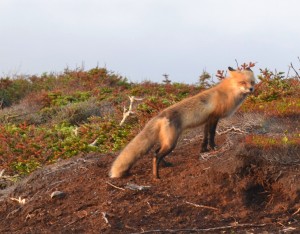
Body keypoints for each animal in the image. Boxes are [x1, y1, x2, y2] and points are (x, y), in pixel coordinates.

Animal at [110, 67, 255, 179]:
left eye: (252, 82)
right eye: (242, 82)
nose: (251, 89)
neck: (227, 93)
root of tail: (159, 115)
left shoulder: (207, 120)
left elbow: (204, 136)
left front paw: (204, 150)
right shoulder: (214, 117)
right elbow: (212, 135)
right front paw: (213, 148)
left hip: (167, 141)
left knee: (156, 152)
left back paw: (166, 164)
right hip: (171, 142)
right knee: (156, 156)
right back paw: (156, 176)